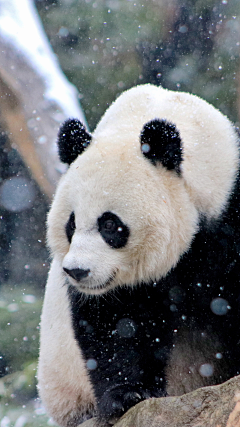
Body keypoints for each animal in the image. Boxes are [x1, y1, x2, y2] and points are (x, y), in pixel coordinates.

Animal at [37, 84, 240, 427]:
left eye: (109, 224)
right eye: (71, 224)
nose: (77, 271)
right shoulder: (118, 289)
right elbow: (117, 325)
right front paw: (126, 396)